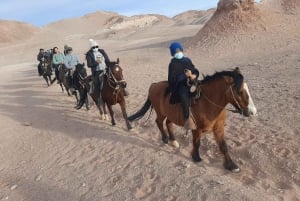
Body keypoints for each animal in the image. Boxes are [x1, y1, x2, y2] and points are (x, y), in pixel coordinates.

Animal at [127, 66, 256, 172]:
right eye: (239, 91)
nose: (252, 111)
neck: (208, 102)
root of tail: (153, 85)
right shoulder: (197, 129)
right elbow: (197, 143)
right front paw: (196, 157)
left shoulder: (219, 129)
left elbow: (223, 146)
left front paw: (231, 165)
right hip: (161, 113)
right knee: (159, 122)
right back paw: (165, 139)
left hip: (171, 115)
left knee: (168, 124)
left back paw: (173, 141)